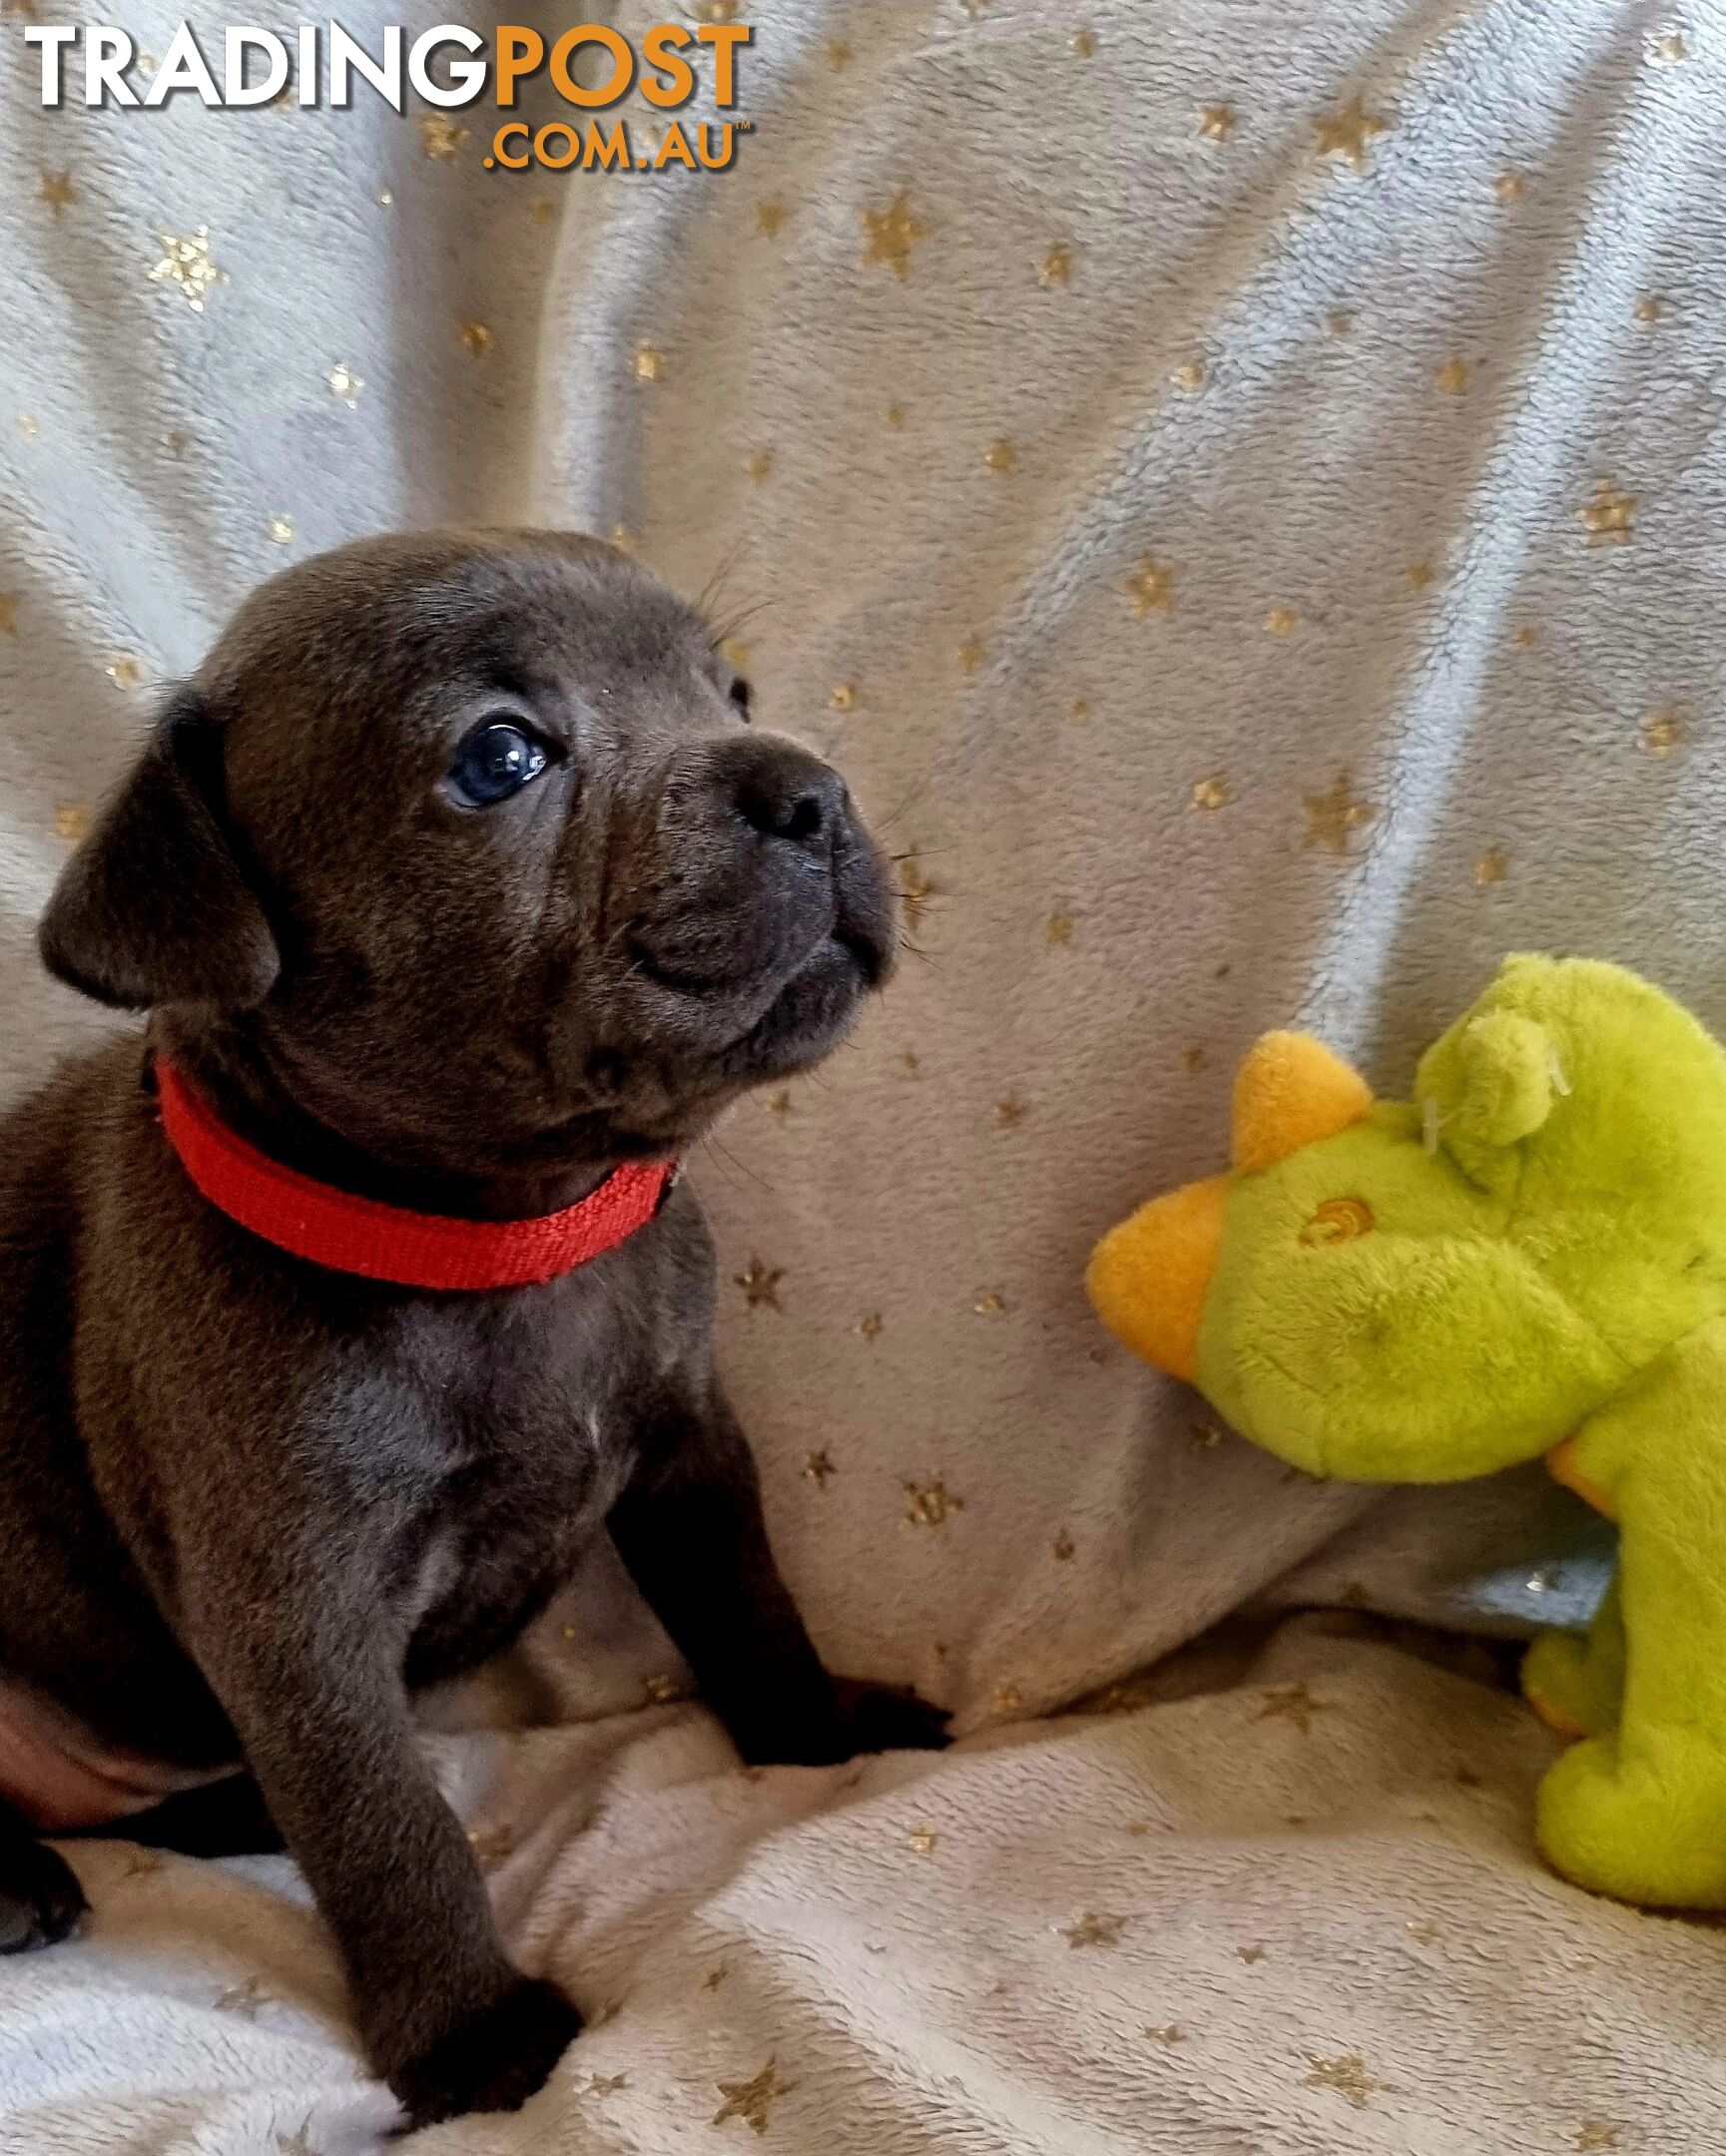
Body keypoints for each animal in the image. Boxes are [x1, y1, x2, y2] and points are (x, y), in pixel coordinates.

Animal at [0, 534, 944, 2121]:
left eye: (730, 691)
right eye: (500, 757)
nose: (812, 789)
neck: (495, 1233)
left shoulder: (694, 1450)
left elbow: (751, 1606)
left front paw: (818, 1732)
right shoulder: (298, 1616)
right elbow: (387, 1827)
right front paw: (470, 2036)